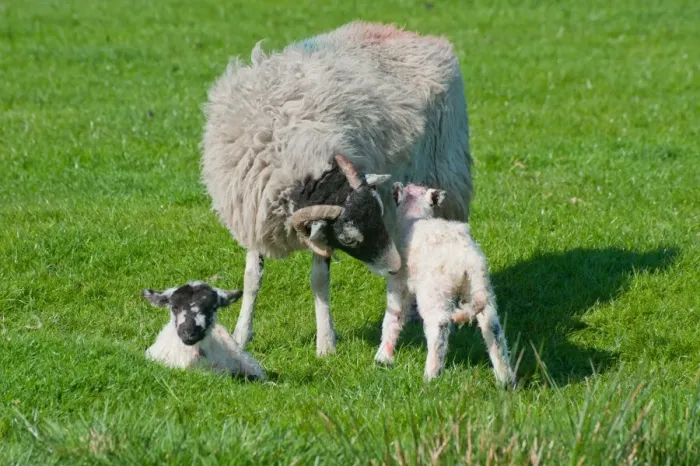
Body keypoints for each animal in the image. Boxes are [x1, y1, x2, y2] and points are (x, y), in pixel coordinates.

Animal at [201, 20, 473, 358]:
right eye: (350, 238)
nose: (394, 267)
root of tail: (416, 35)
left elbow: (318, 280)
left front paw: (325, 343)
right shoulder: (254, 211)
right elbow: (252, 277)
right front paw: (240, 336)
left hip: (447, 175)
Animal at [374, 183, 516, 386]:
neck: (415, 216)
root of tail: (469, 261)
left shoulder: (398, 282)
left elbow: (394, 317)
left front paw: (383, 358)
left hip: (435, 291)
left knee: (439, 326)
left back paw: (431, 375)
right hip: (479, 289)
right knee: (493, 327)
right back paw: (506, 378)